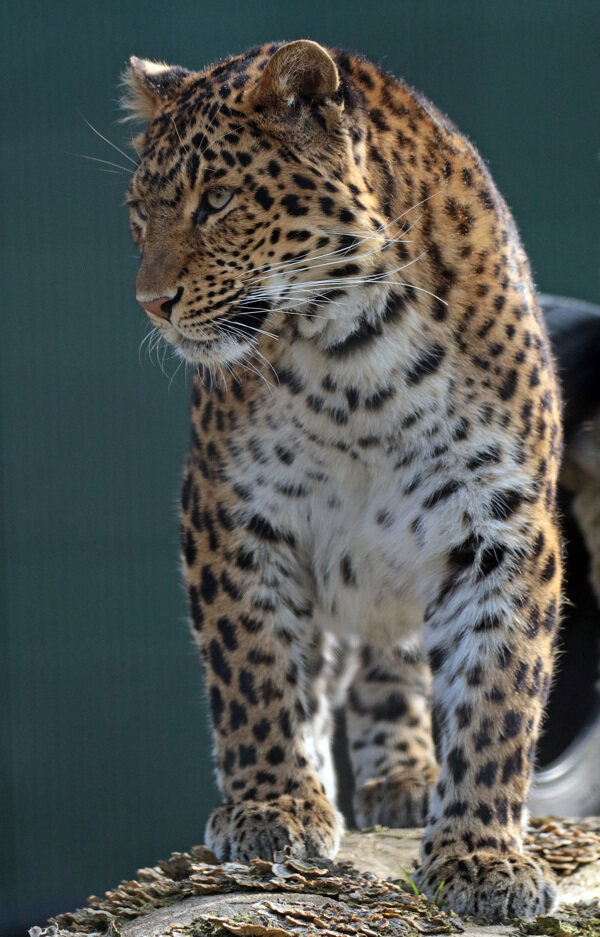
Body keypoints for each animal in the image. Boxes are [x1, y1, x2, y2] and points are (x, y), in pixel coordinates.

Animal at [120, 38, 564, 920]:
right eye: (138, 213)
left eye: (217, 200)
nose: (153, 302)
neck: (357, 356)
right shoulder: (232, 511)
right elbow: (255, 669)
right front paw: (274, 804)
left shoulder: (504, 524)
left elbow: (496, 694)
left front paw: (482, 854)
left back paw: (407, 774)